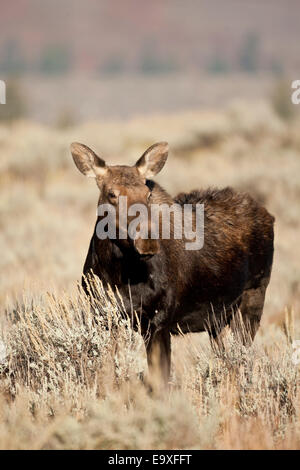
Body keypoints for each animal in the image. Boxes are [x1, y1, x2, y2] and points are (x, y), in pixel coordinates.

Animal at [70, 141, 274, 384]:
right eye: (112, 194)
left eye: (147, 194)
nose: (147, 240)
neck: (117, 272)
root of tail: (268, 214)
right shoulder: (104, 318)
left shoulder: (159, 322)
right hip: (218, 319)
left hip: (253, 298)